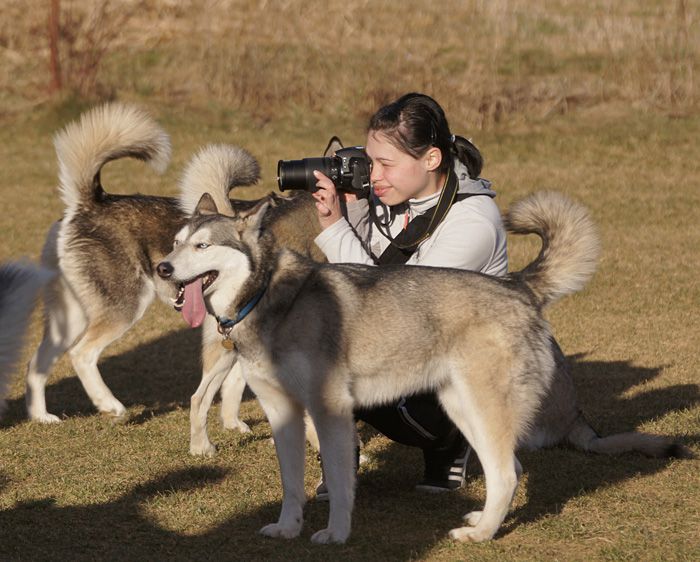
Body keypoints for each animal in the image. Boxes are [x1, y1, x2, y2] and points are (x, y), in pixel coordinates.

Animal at [24, 104, 318, 442]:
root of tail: (89, 203)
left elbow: (234, 379)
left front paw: (232, 423)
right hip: (124, 307)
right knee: (81, 354)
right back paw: (111, 406)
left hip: (71, 316)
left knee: (36, 363)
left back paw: (42, 417)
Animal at [157, 189, 600, 544]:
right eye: (175, 244)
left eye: (202, 246)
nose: (163, 268)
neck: (267, 295)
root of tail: (518, 285)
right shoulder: (284, 413)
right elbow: (291, 484)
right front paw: (287, 528)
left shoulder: (329, 411)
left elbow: (339, 482)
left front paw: (336, 534)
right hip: (464, 409)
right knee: (507, 470)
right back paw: (482, 521)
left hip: (481, 409)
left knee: (506, 473)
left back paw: (480, 535)